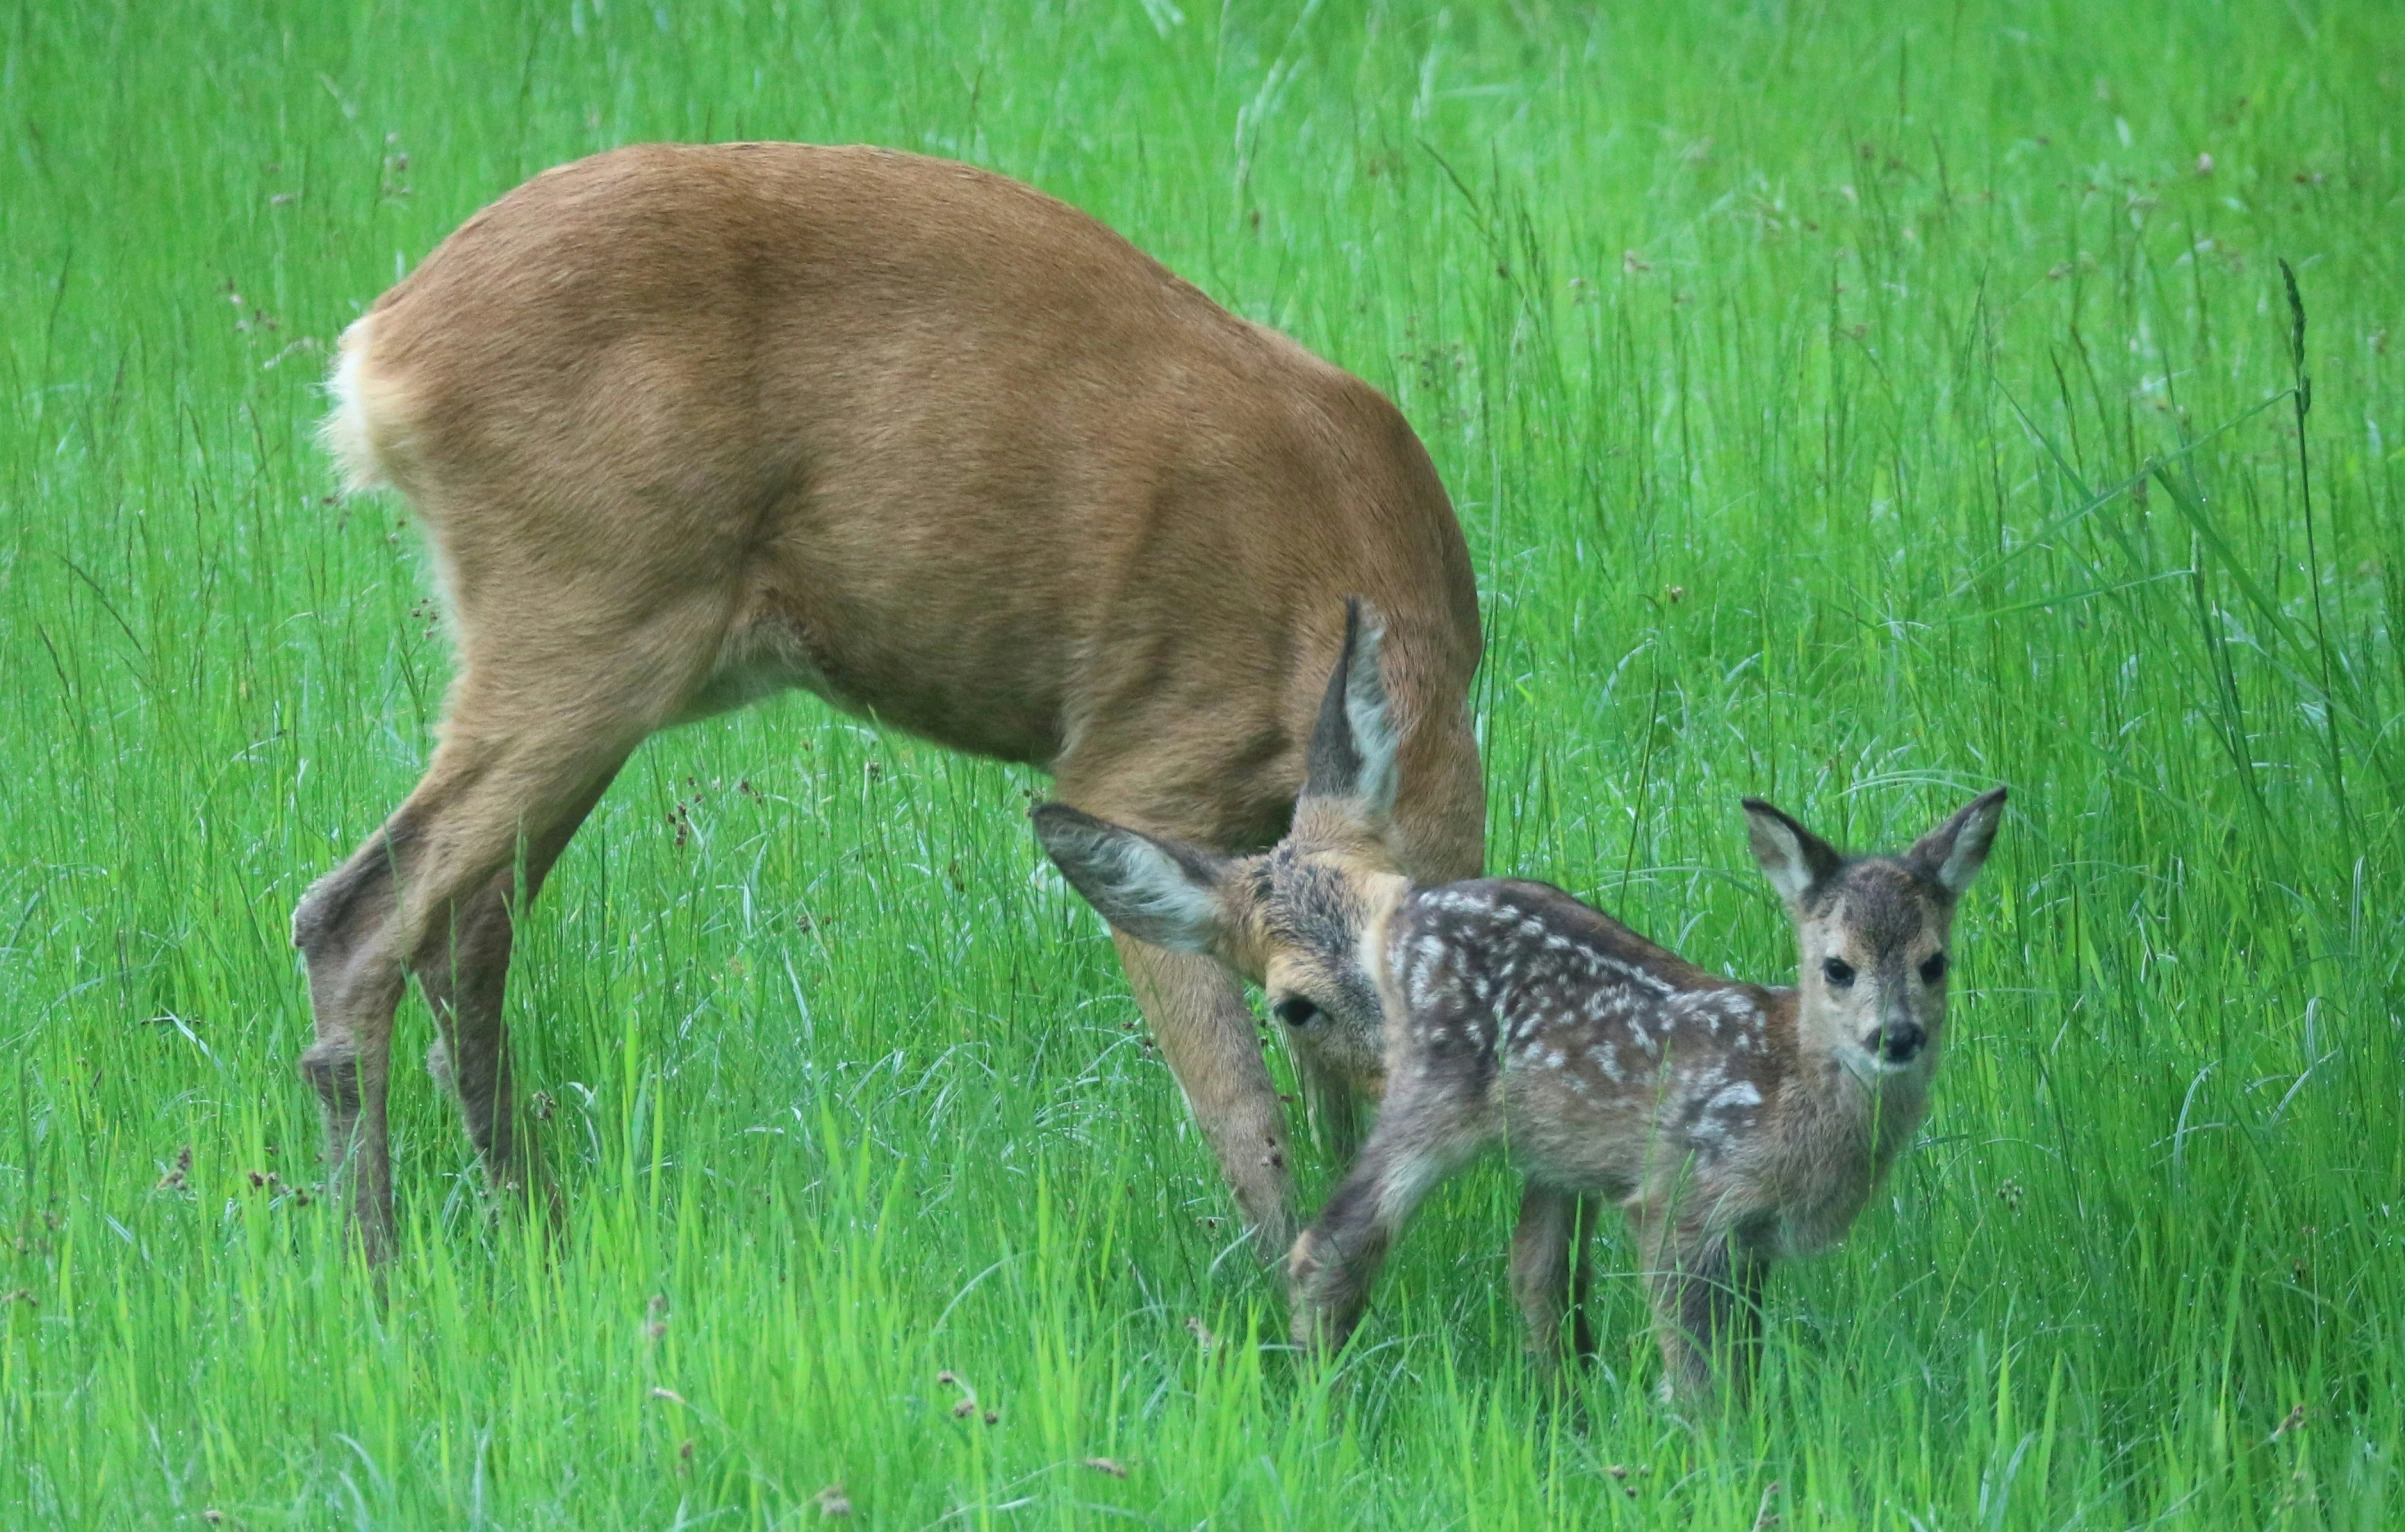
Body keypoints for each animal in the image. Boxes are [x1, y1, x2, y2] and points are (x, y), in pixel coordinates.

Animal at [300, 143, 1481, 1260]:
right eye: (1298, 998)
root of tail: (379, 349)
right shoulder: (1138, 759)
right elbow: (1242, 1108)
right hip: (579, 609)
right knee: (351, 915)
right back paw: (379, 1268)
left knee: (466, 933)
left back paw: (532, 1229)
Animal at [1043, 615, 2000, 1404]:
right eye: (1835, 967)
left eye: (1935, 962)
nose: (1896, 1036)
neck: (1788, 1092)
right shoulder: (1681, 1199)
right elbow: (1698, 1375)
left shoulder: (1745, 1238)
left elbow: (1735, 1358)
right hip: (1438, 1102)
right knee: (1330, 1248)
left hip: (1546, 1147)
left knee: (1535, 1278)